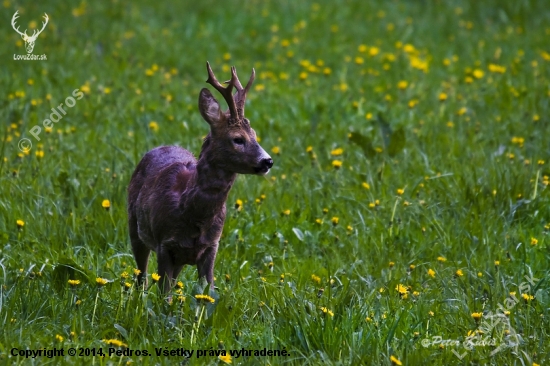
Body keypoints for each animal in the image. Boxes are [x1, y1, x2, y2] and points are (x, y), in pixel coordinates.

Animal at [130, 61, 276, 294]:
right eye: (238, 139)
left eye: (254, 135)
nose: (267, 161)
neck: (191, 212)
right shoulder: (164, 243)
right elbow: (164, 294)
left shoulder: (211, 246)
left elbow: (208, 292)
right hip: (134, 226)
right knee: (141, 276)